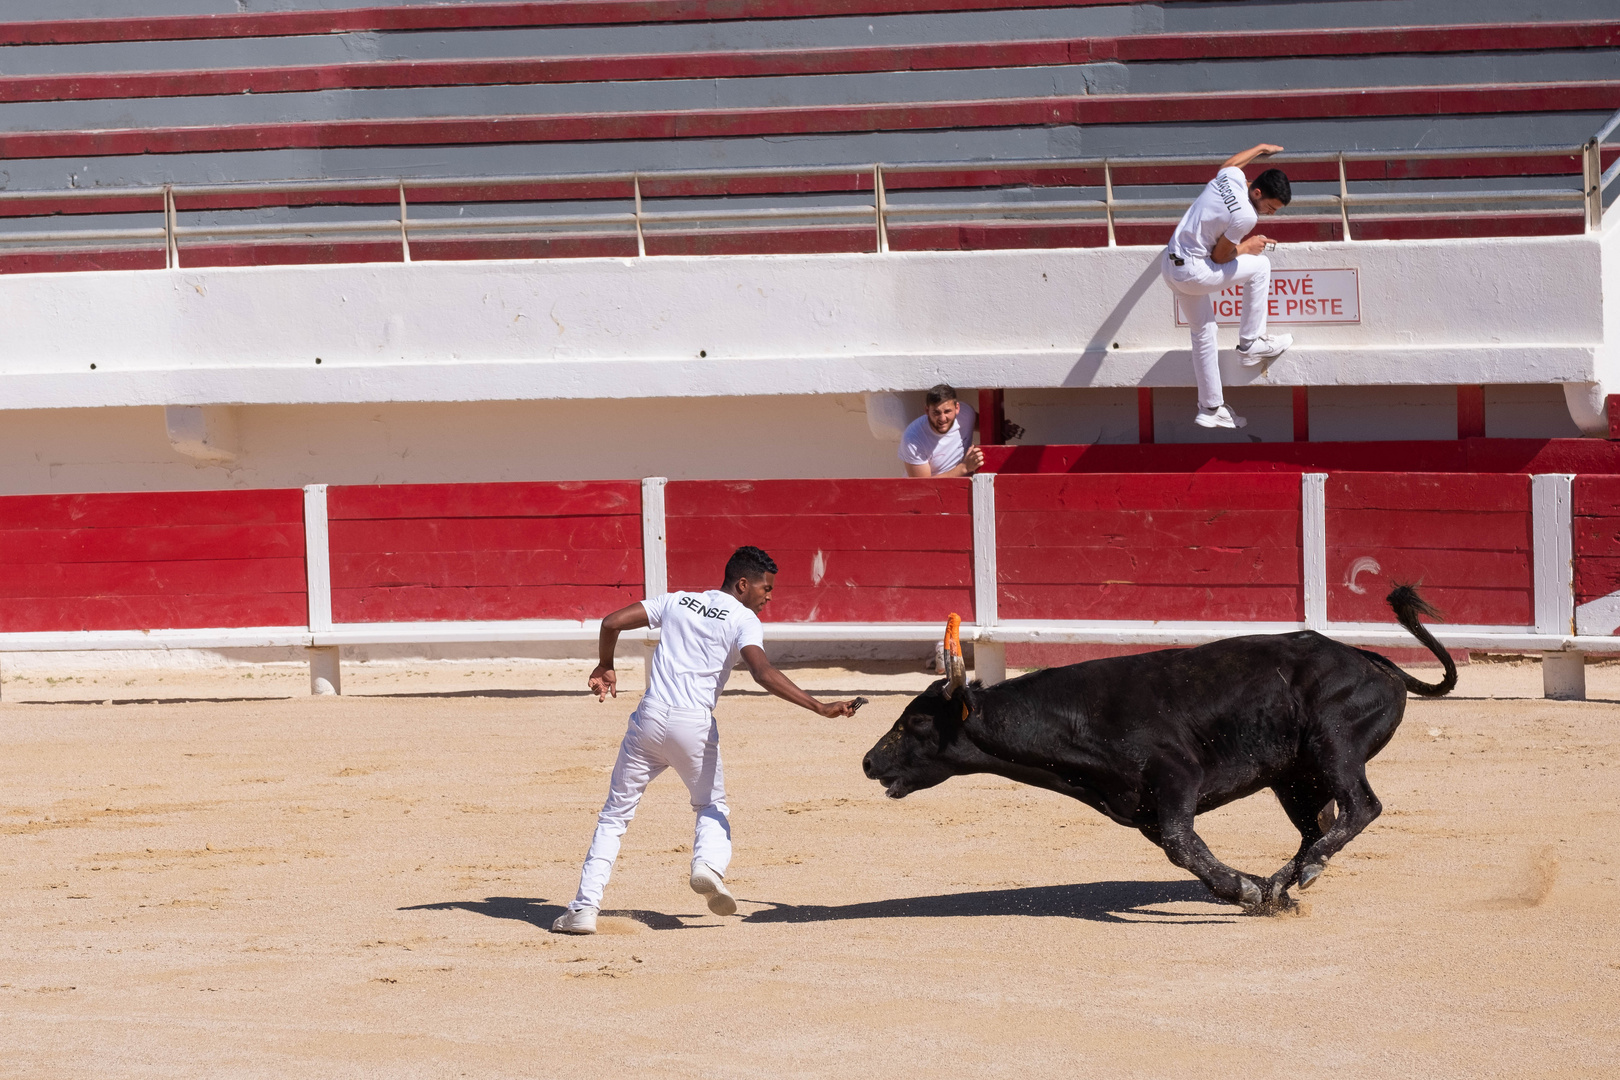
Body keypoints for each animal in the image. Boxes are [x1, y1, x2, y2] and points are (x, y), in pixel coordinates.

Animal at [868, 586, 1464, 919]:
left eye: (915, 722)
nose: (869, 761)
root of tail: (1370, 659)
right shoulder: (1141, 809)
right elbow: (1185, 851)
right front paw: (1252, 892)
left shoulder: (1176, 777)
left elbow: (1182, 844)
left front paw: (1246, 892)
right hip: (1295, 778)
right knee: (1316, 826)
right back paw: (1284, 884)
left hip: (1334, 747)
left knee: (1361, 807)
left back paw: (1298, 875)